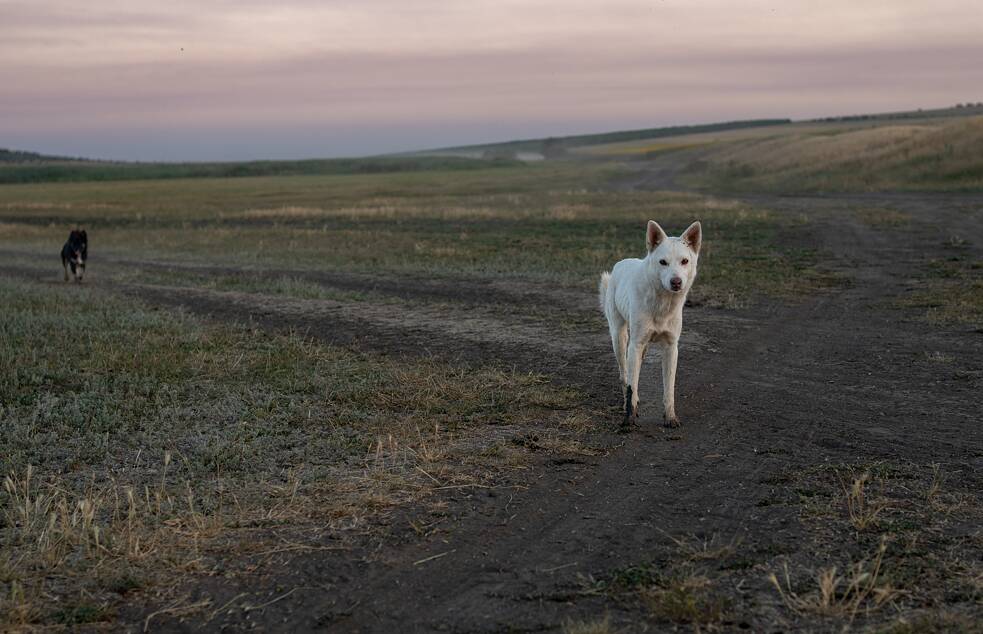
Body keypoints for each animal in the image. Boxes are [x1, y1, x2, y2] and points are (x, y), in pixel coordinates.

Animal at [596, 220, 704, 428]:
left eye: (684, 261)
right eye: (663, 262)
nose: (676, 282)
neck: (662, 303)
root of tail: (622, 262)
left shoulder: (671, 348)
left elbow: (669, 388)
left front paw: (670, 417)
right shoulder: (635, 345)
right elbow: (632, 383)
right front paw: (629, 417)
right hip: (620, 338)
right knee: (625, 375)